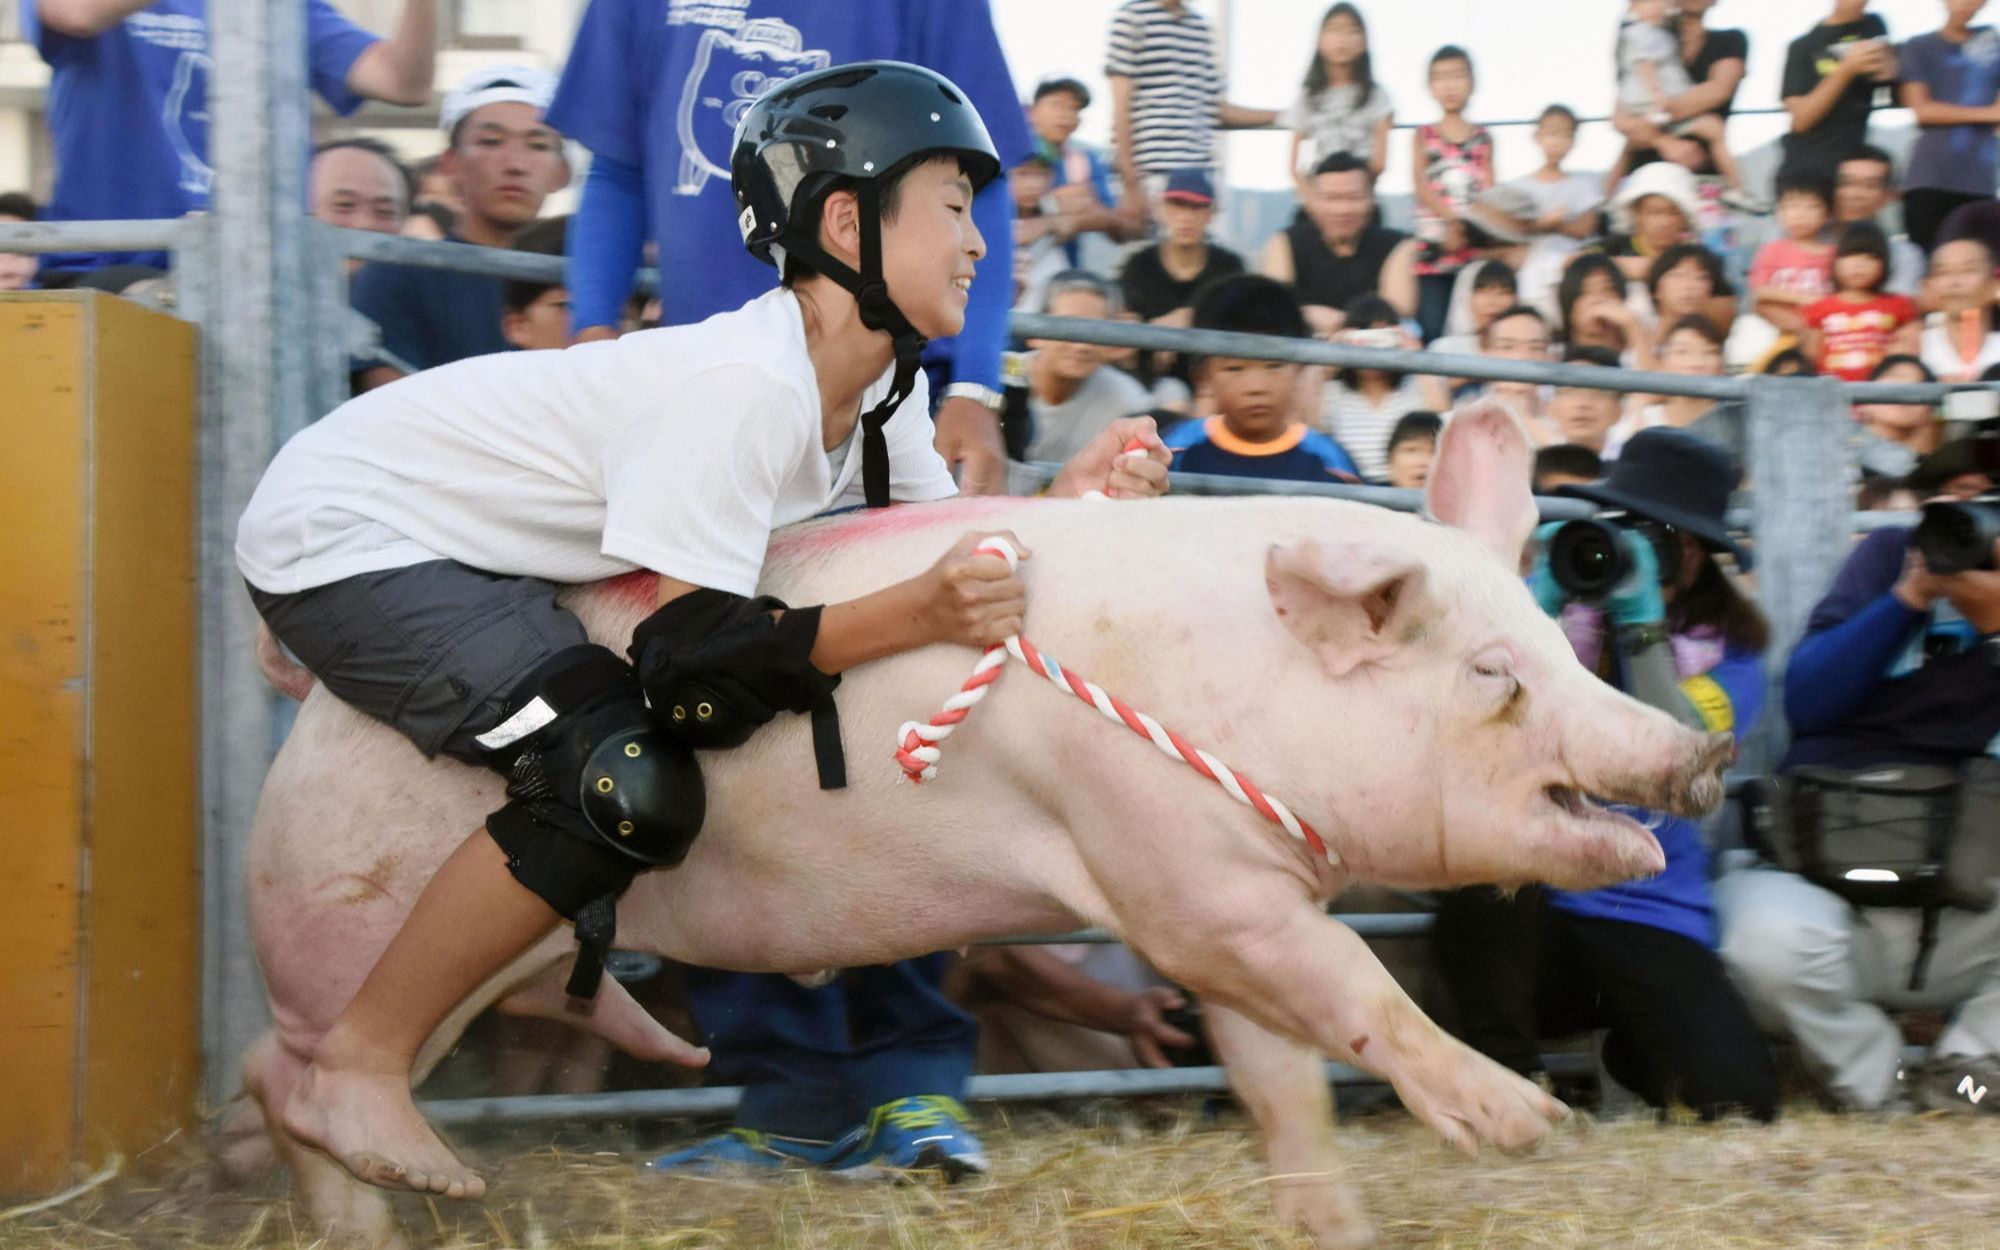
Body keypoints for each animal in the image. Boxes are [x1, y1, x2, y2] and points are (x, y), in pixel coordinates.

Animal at [238, 404, 1736, 1240]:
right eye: (1492, 673)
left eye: (1550, 631)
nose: (1702, 751)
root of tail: (301, 708)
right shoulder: (1183, 875)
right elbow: (1359, 985)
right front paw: (1525, 1123)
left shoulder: (1227, 890)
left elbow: (1282, 1069)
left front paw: (1337, 1222)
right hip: (345, 896)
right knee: (294, 1063)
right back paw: (389, 1198)